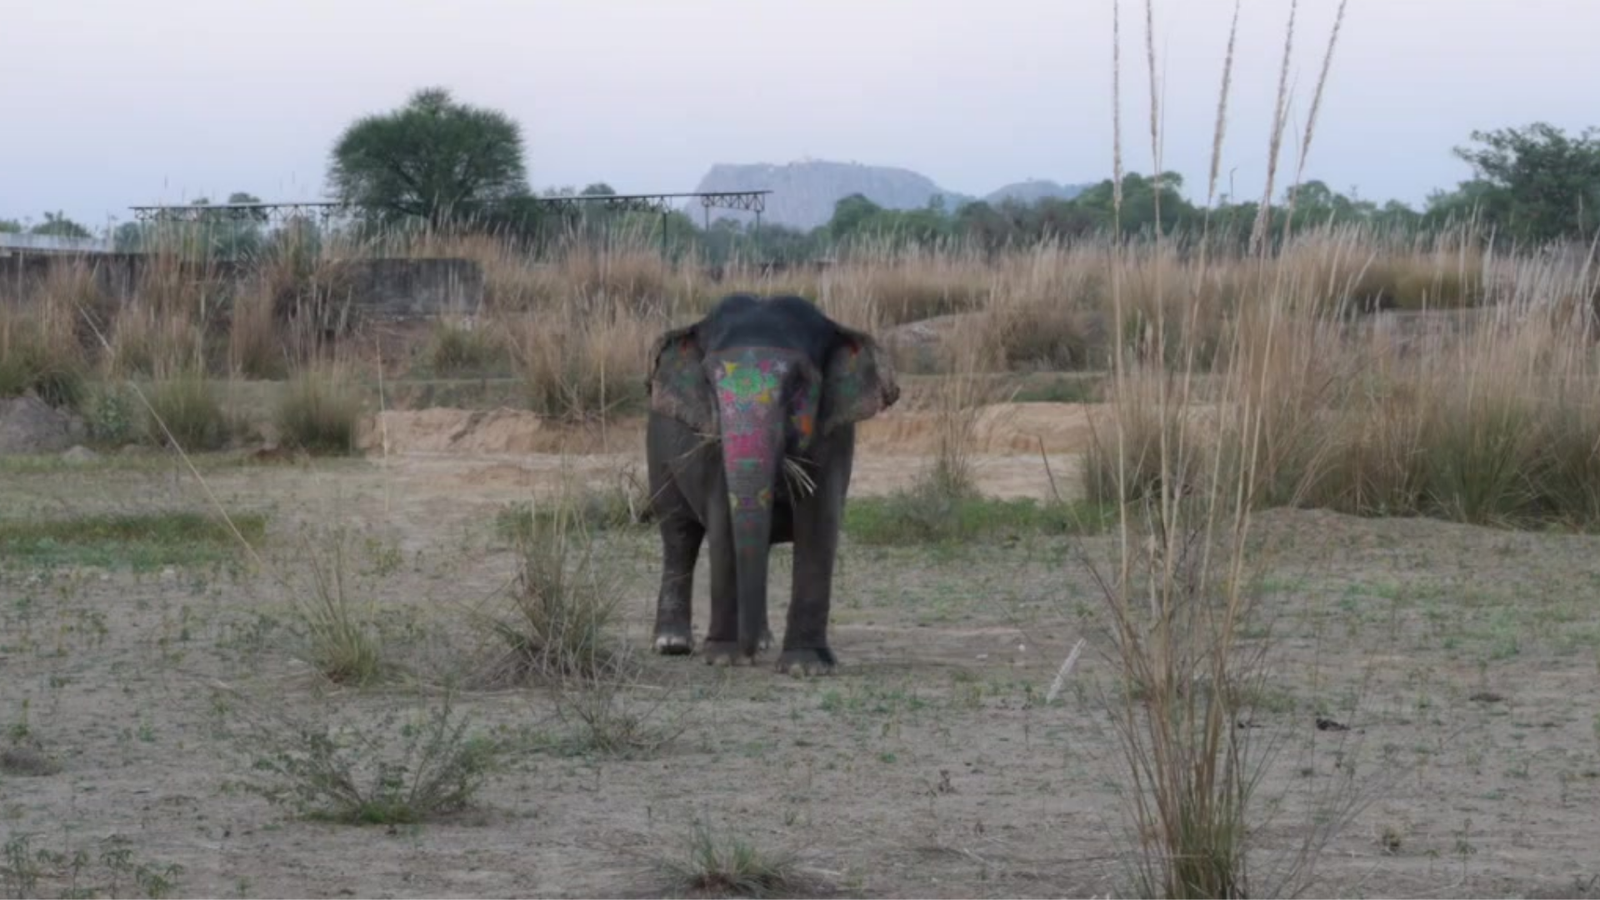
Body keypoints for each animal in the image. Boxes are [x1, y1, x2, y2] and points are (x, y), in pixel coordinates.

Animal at [643, 293, 900, 674]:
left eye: (797, 383)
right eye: (709, 383)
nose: (747, 652)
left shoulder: (835, 436)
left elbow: (819, 524)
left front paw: (805, 667)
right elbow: (723, 525)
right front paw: (725, 658)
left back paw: (761, 641)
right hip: (658, 458)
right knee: (678, 534)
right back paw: (673, 644)